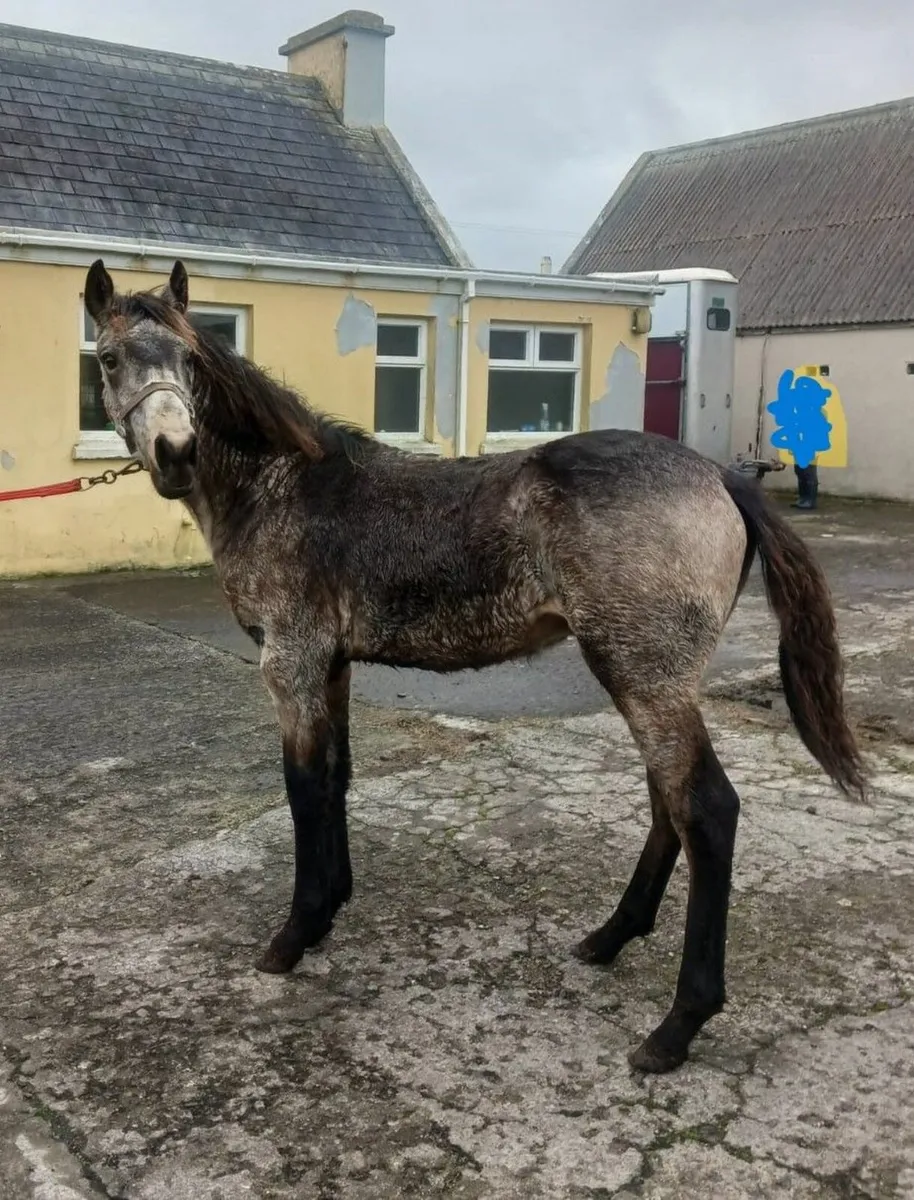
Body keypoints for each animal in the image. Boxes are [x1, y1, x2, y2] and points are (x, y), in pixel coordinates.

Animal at [82, 258, 865, 1074]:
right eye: (109, 358)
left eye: (188, 361)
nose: (175, 454)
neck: (284, 488)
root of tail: (723, 478)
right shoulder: (331, 666)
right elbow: (335, 779)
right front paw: (331, 909)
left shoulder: (289, 666)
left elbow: (301, 789)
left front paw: (292, 937)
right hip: (654, 679)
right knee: (668, 804)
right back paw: (609, 938)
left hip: (643, 674)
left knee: (706, 810)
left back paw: (678, 1024)